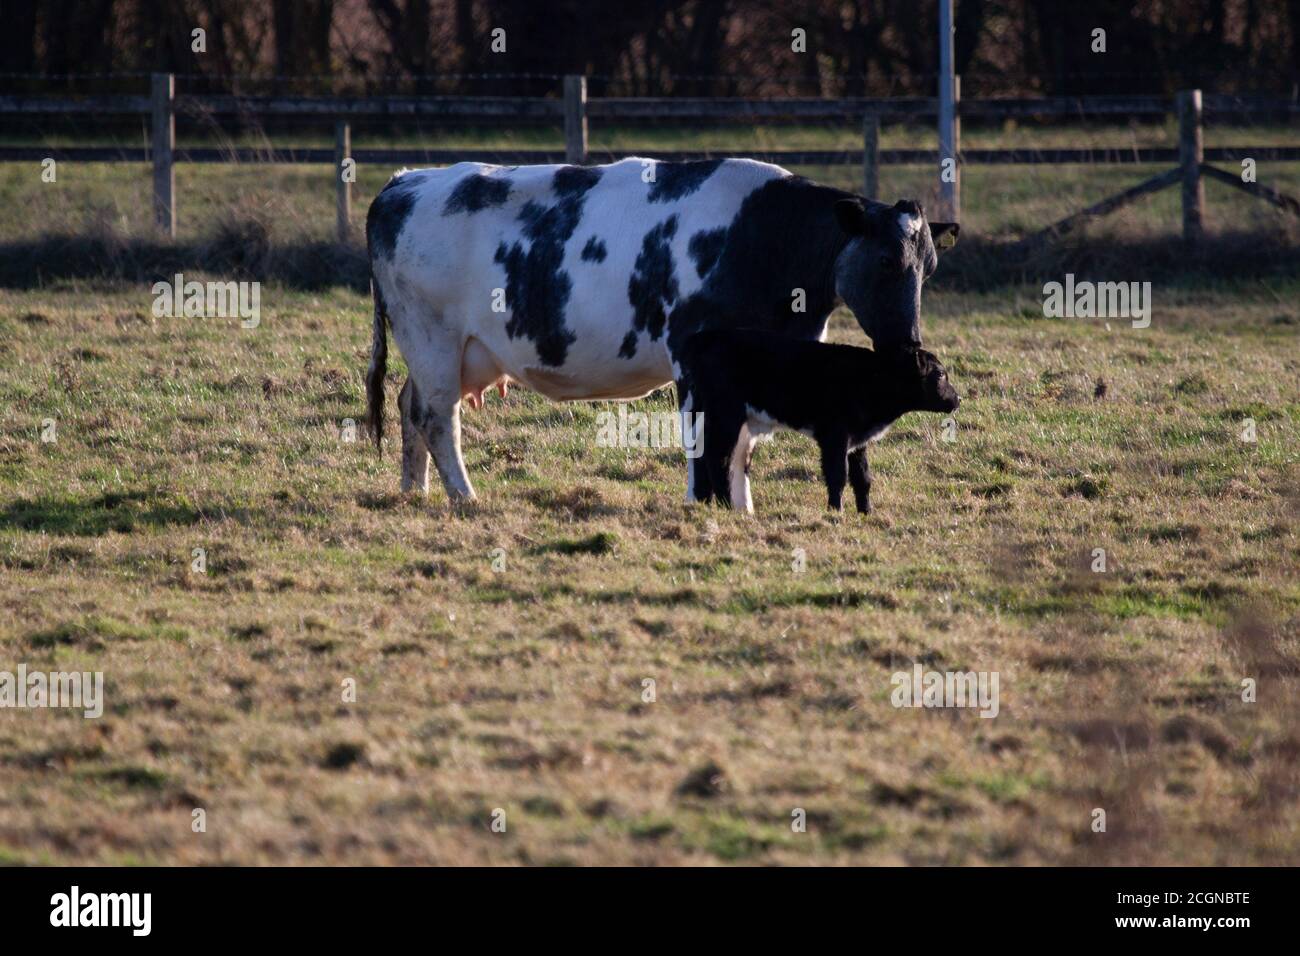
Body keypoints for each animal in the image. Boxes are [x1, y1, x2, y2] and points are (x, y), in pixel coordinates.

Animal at [675, 330, 960, 514]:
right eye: (940, 374)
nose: (958, 398)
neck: (872, 378)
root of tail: (703, 340)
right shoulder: (834, 435)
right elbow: (837, 475)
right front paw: (835, 513)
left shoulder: (857, 440)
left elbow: (862, 477)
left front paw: (866, 512)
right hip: (726, 416)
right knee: (718, 458)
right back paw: (726, 506)